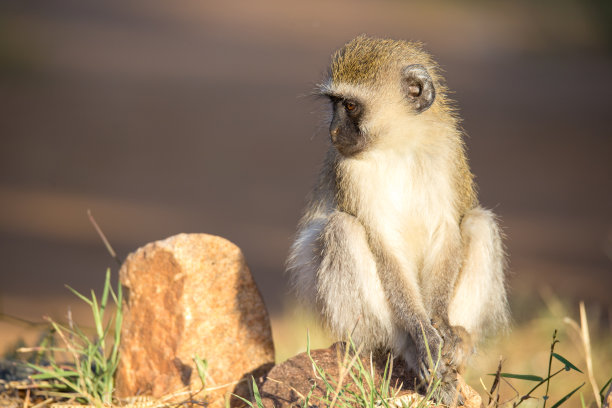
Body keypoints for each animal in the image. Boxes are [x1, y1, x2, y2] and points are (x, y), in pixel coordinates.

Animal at [286, 35, 506, 404]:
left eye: (350, 106)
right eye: (334, 105)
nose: (333, 131)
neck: (399, 144)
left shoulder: (447, 151)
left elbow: (447, 231)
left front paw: (442, 327)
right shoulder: (350, 169)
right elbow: (383, 243)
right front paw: (424, 336)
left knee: (479, 223)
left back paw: (459, 343)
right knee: (341, 228)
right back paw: (409, 351)